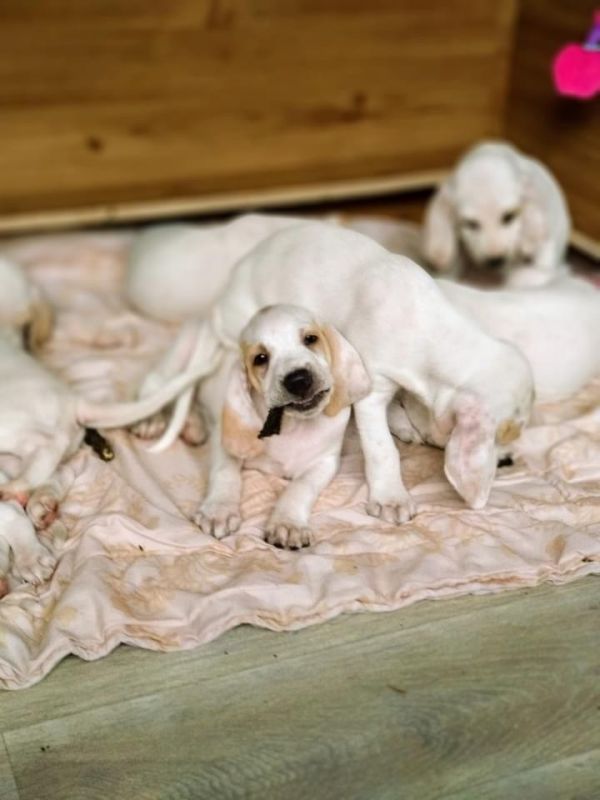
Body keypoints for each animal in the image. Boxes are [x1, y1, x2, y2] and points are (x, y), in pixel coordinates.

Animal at [193, 304, 370, 548]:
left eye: (310, 339)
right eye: (260, 358)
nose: (298, 380)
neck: (292, 425)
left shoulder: (324, 462)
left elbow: (300, 487)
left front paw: (287, 523)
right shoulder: (224, 441)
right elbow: (225, 471)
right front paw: (219, 510)